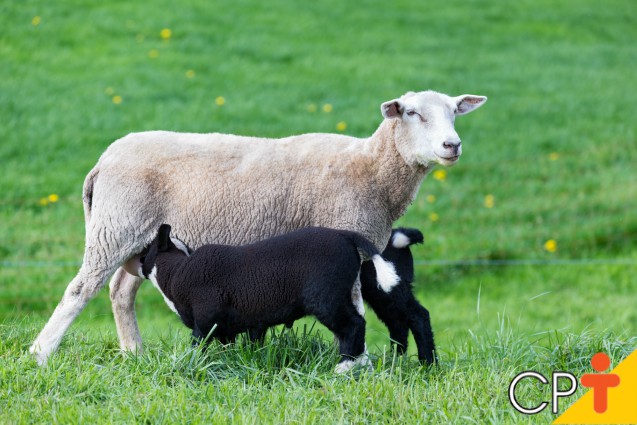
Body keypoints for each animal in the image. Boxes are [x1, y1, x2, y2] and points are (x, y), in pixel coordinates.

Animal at [138, 224, 398, 372]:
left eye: (146, 250)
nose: (137, 260)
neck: (176, 272)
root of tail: (345, 236)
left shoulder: (204, 324)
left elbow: (196, 349)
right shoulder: (231, 329)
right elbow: (233, 349)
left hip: (326, 298)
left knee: (353, 325)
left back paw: (344, 366)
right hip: (342, 294)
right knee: (357, 324)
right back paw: (358, 364)